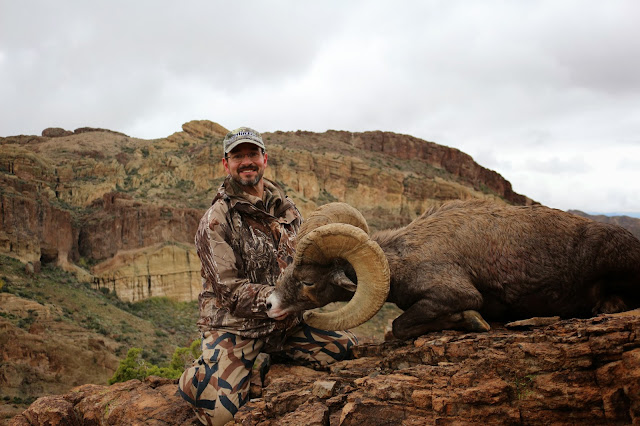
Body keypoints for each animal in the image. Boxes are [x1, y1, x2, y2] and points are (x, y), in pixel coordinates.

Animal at [266, 200, 640, 340]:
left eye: (308, 281)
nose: (269, 304)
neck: (403, 259)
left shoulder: (454, 295)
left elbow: (399, 327)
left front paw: (472, 321)